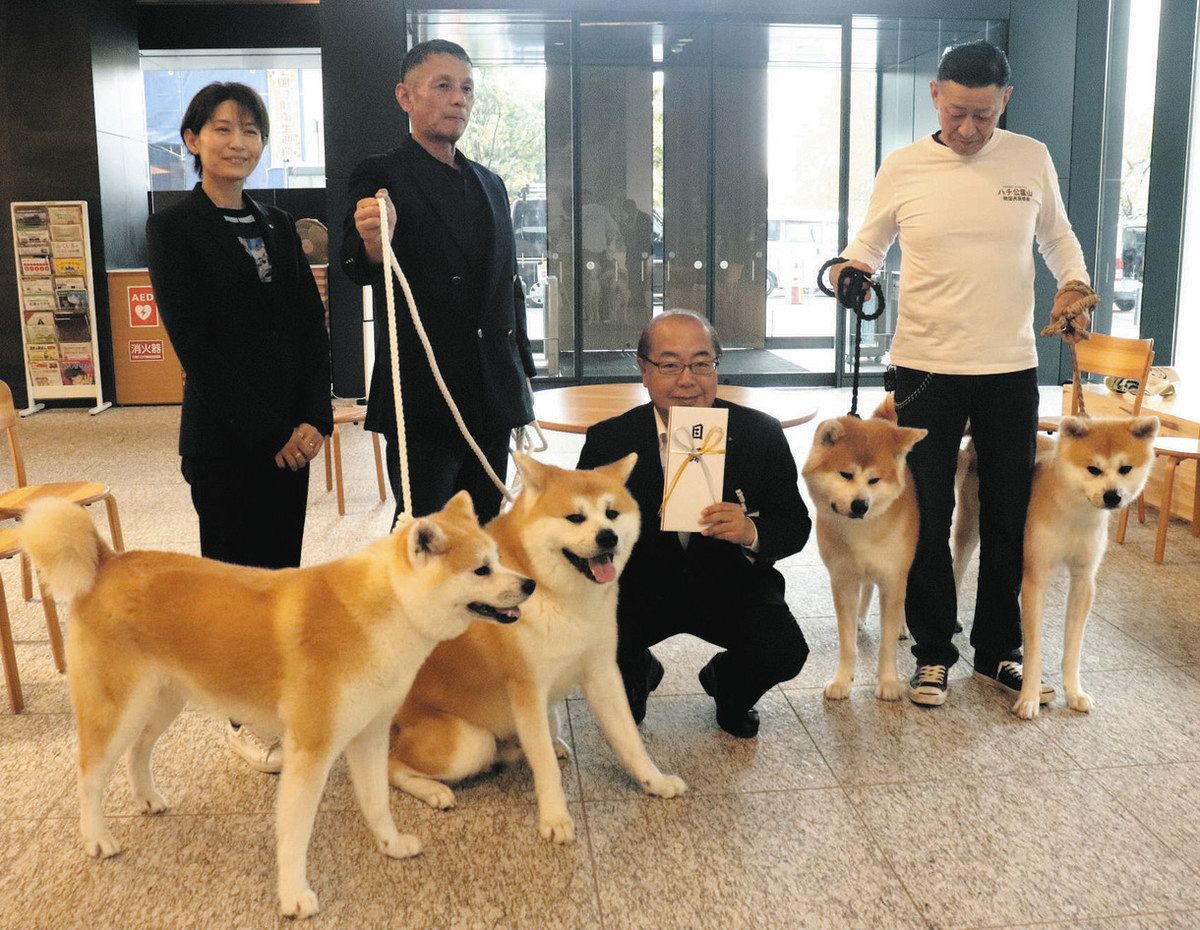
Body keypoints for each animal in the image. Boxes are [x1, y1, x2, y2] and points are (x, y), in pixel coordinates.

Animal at [17, 494, 535, 916]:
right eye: (482, 569)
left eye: (498, 559)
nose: (529, 585)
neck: (385, 614)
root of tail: (107, 562)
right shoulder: (311, 750)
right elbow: (295, 836)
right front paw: (293, 897)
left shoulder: (368, 736)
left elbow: (377, 801)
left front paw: (390, 844)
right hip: (117, 709)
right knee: (90, 774)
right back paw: (96, 837)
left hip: (163, 702)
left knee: (138, 752)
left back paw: (147, 798)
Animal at [388, 451, 691, 844]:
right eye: (575, 517)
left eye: (611, 514)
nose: (607, 537)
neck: (556, 593)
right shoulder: (527, 689)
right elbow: (544, 766)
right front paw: (555, 817)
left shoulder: (601, 671)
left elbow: (628, 739)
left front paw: (654, 781)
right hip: (467, 744)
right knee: (394, 765)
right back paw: (433, 790)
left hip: (547, 715)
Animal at [806, 415, 926, 700]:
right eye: (846, 474)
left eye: (875, 480)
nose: (861, 505)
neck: (860, 531)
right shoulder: (843, 580)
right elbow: (847, 640)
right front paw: (842, 680)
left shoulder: (893, 579)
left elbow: (887, 641)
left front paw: (889, 682)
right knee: (868, 586)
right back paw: (861, 617)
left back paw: (903, 627)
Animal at [1012, 417, 1161, 720]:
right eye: (1094, 469)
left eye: (1125, 469)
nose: (1112, 496)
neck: (1075, 513)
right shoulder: (1036, 579)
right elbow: (1034, 651)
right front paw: (1030, 697)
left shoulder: (1084, 580)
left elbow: (1073, 649)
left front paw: (1074, 693)